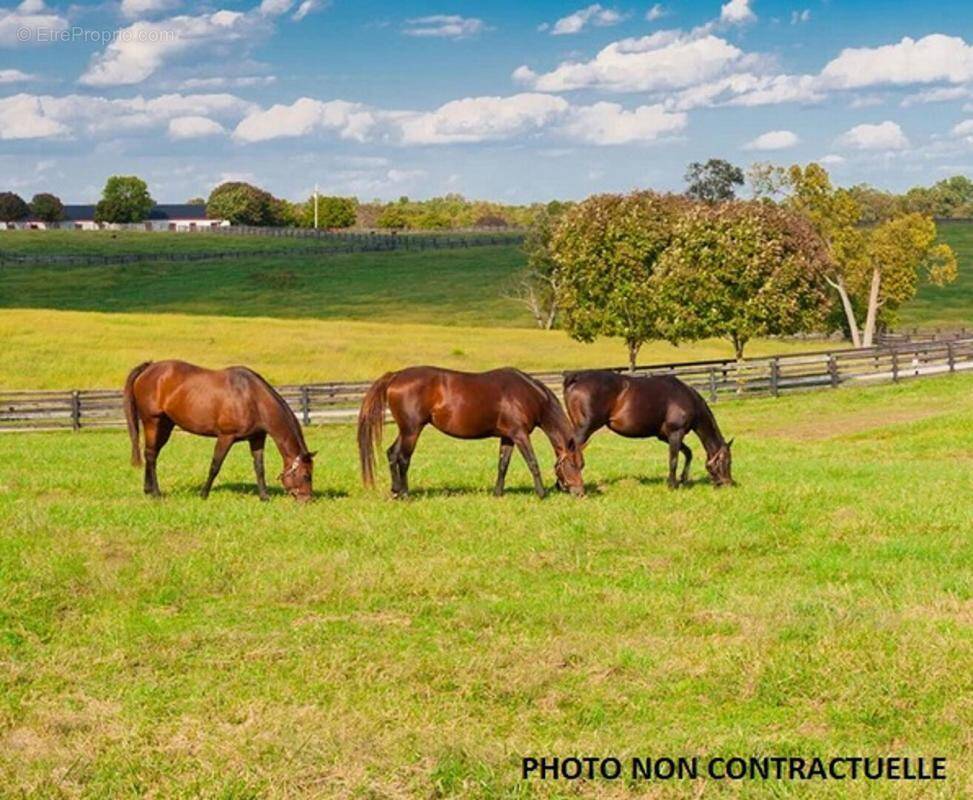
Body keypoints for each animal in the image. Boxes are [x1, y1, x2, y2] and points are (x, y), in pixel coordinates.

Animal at [119, 360, 314, 500]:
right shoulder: (225, 437)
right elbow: (215, 466)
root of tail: (148, 368)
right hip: (153, 422)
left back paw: (148, 490)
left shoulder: (257, 438)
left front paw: (264, 496)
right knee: (151, 454)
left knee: (152, 454)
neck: (252, 397)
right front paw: (204, 494)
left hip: (165, 425)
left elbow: (259, 467)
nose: (307, 499)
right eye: (306, 475)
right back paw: (156, 493)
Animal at [356, 366, 584, 496]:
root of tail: (395, 376)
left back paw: (395, 491)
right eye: (573, 464)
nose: (580, 493)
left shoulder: (508, 437)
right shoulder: (520, 435)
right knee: (403, 458)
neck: (527, 395)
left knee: (392, 454)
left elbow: (503, 465)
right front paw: (542, 493)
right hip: (412, 430)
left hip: (405, 430)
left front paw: (498, 493)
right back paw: (404, 493)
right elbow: (532, 463)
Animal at [560, 372, 732, 490]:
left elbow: (688, 453)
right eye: (728, 462)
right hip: (584, 430)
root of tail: (577, 378)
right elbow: (674, 459)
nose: (728, 483)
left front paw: (683, 479)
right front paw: (672, 485)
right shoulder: (675, 433)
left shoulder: (665, 436)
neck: (688, 398)